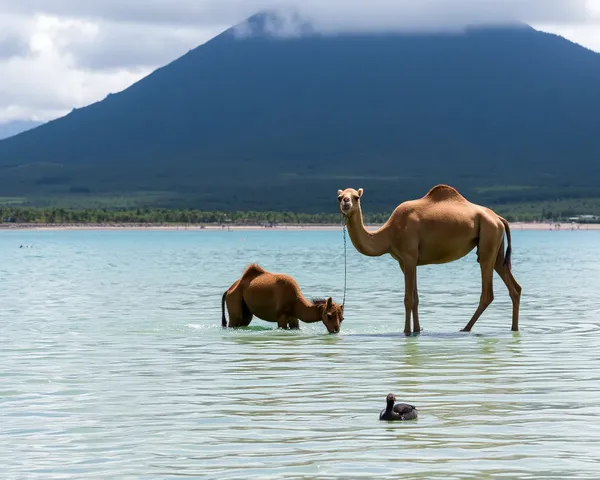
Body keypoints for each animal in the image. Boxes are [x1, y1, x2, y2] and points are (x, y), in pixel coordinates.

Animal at [338, 182, 520, 336]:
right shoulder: (404, 261)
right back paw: (514, 328)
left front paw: (406, 332)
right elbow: (416, 299)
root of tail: (498, 218)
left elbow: (408, 299)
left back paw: (465, 329)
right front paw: (417, 330)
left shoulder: (409, 256)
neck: (389, 235)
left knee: (487, 292)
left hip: (489, 237)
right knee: (514, 287)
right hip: (496, 244)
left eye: (356, 197)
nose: (346, 203)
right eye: (339, 197)